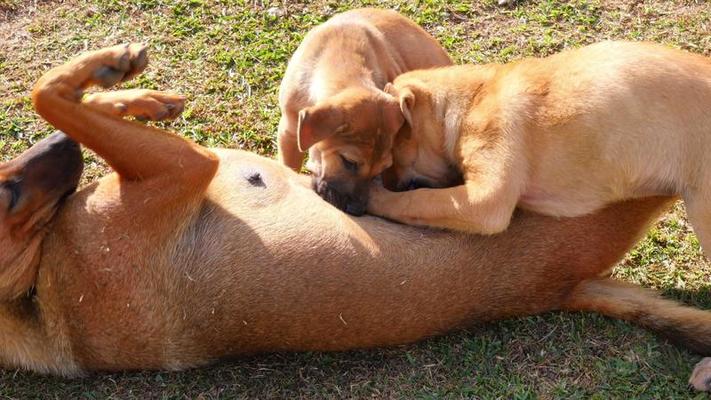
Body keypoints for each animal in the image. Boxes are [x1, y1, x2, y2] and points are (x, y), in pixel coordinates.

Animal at [276, 7, 450, 216]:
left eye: (381, 168)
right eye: (348, 162)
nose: (356, 210)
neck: (341, 57)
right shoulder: (288, 131)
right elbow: (288, 165)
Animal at [364, 40, 711, 244]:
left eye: (392, 155)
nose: (384, 180)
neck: (471, 100)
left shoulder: (486, 199)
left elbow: (417, 200)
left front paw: (374, 198)